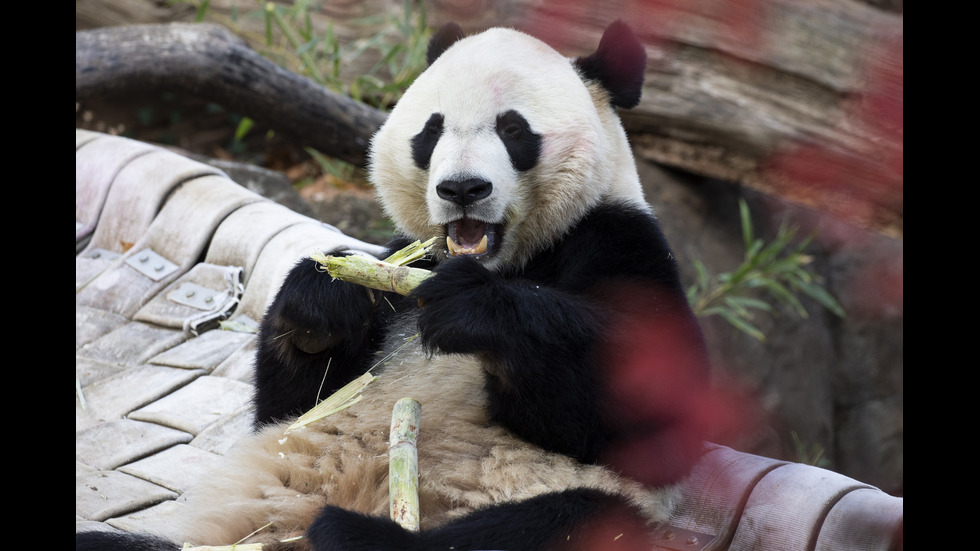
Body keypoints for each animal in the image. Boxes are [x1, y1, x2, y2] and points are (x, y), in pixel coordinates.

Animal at [74, 19, 704, 548]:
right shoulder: (401, 270)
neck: (510, 262)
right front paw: (326, 298)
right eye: (431, 131)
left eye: (513, 129)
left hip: (553, 499)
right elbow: (294, 406)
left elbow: (652, 413)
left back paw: (353, 534)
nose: (462, 188)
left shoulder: (617, 242)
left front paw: (474, 311)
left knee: (559, 520)